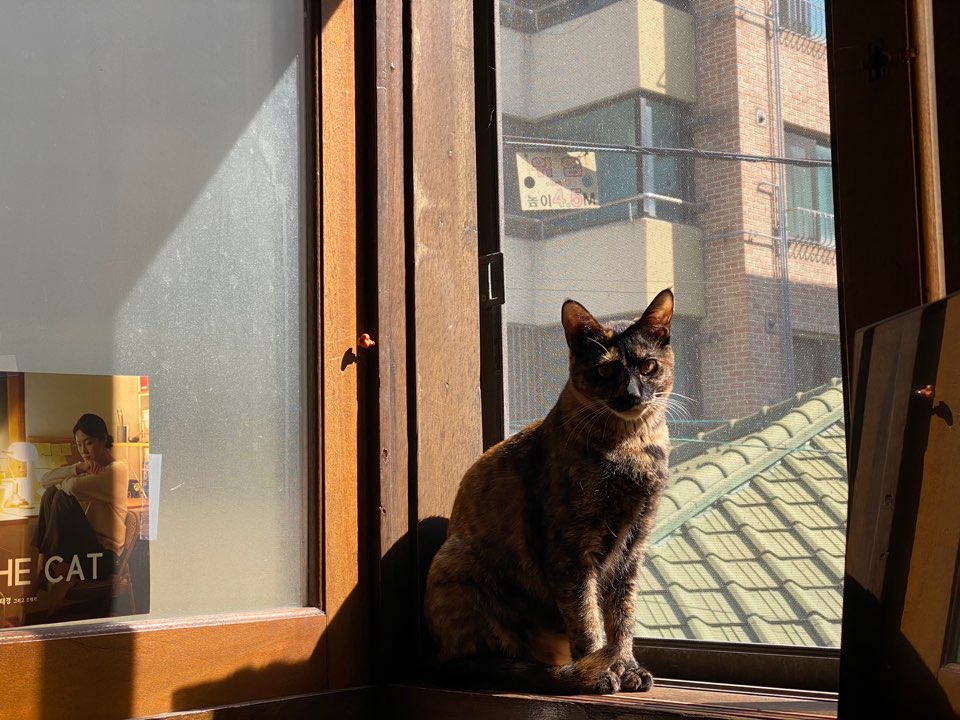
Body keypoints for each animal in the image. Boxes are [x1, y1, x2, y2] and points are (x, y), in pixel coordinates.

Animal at [424, 288, 675, 695]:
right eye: (605, 370)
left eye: (648, 366)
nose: (633, 394)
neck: (631, 446)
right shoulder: (570, 548)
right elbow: (587, 619)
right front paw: (601, 671)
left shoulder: (633, 546)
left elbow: (622, 619)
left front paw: (627, 667)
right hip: (457, 560)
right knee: (485, 661)